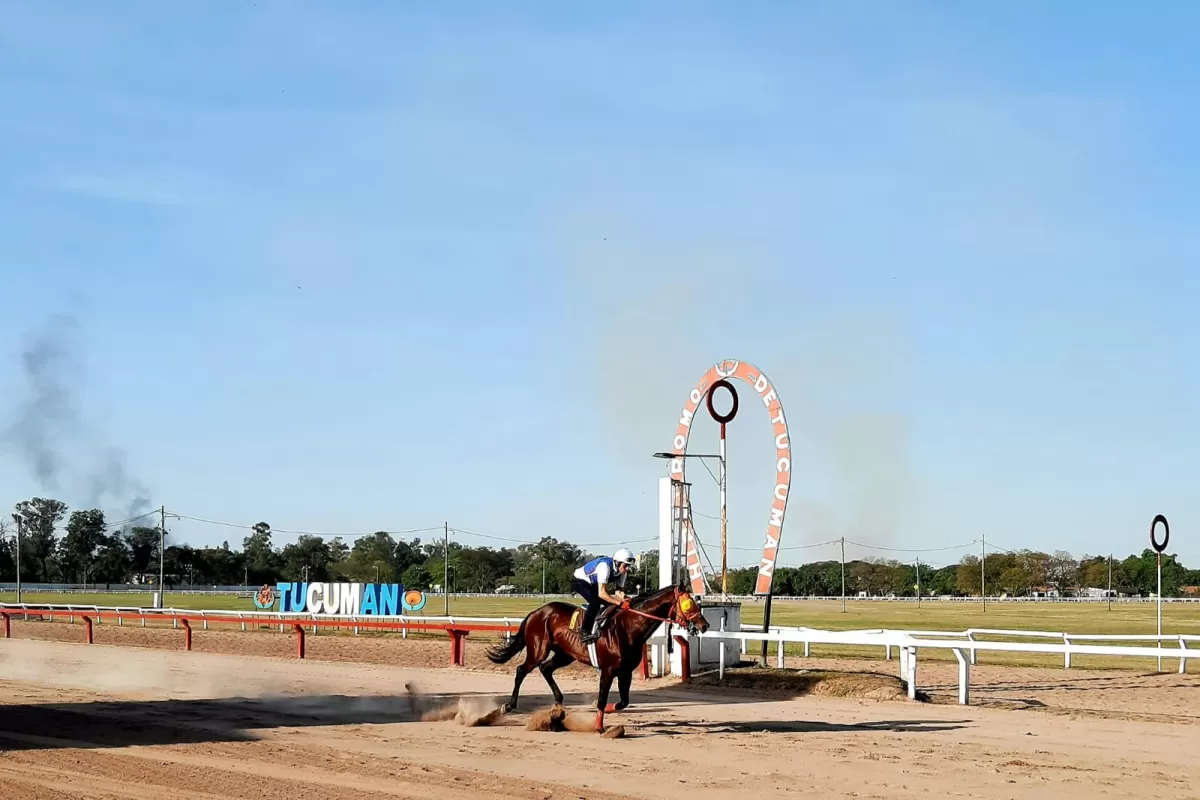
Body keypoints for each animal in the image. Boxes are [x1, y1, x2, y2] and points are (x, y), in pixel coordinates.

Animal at [484, 582, 705, 734]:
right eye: (688, 604)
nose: (704, 625)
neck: (627, 628)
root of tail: (535, 612)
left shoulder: (625, 672)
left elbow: (622, 702)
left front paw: (603, 710)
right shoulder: (607, 670)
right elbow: (601, 698)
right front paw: (599, 727)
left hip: (565, 654)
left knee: (546, 668)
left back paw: (558, 707)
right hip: (538, 649)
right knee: (522, 670)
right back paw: (508, 706)